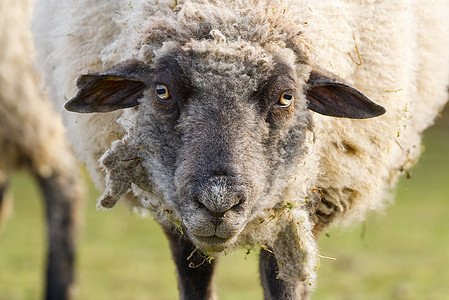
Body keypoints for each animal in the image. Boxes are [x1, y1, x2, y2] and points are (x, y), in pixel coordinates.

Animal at [33, 0, 448, 298]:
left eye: (286, 97)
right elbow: (194, 278)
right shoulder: (173, 209)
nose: (218, 202)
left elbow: (283, 281)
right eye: (162, 91)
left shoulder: (299, 203)